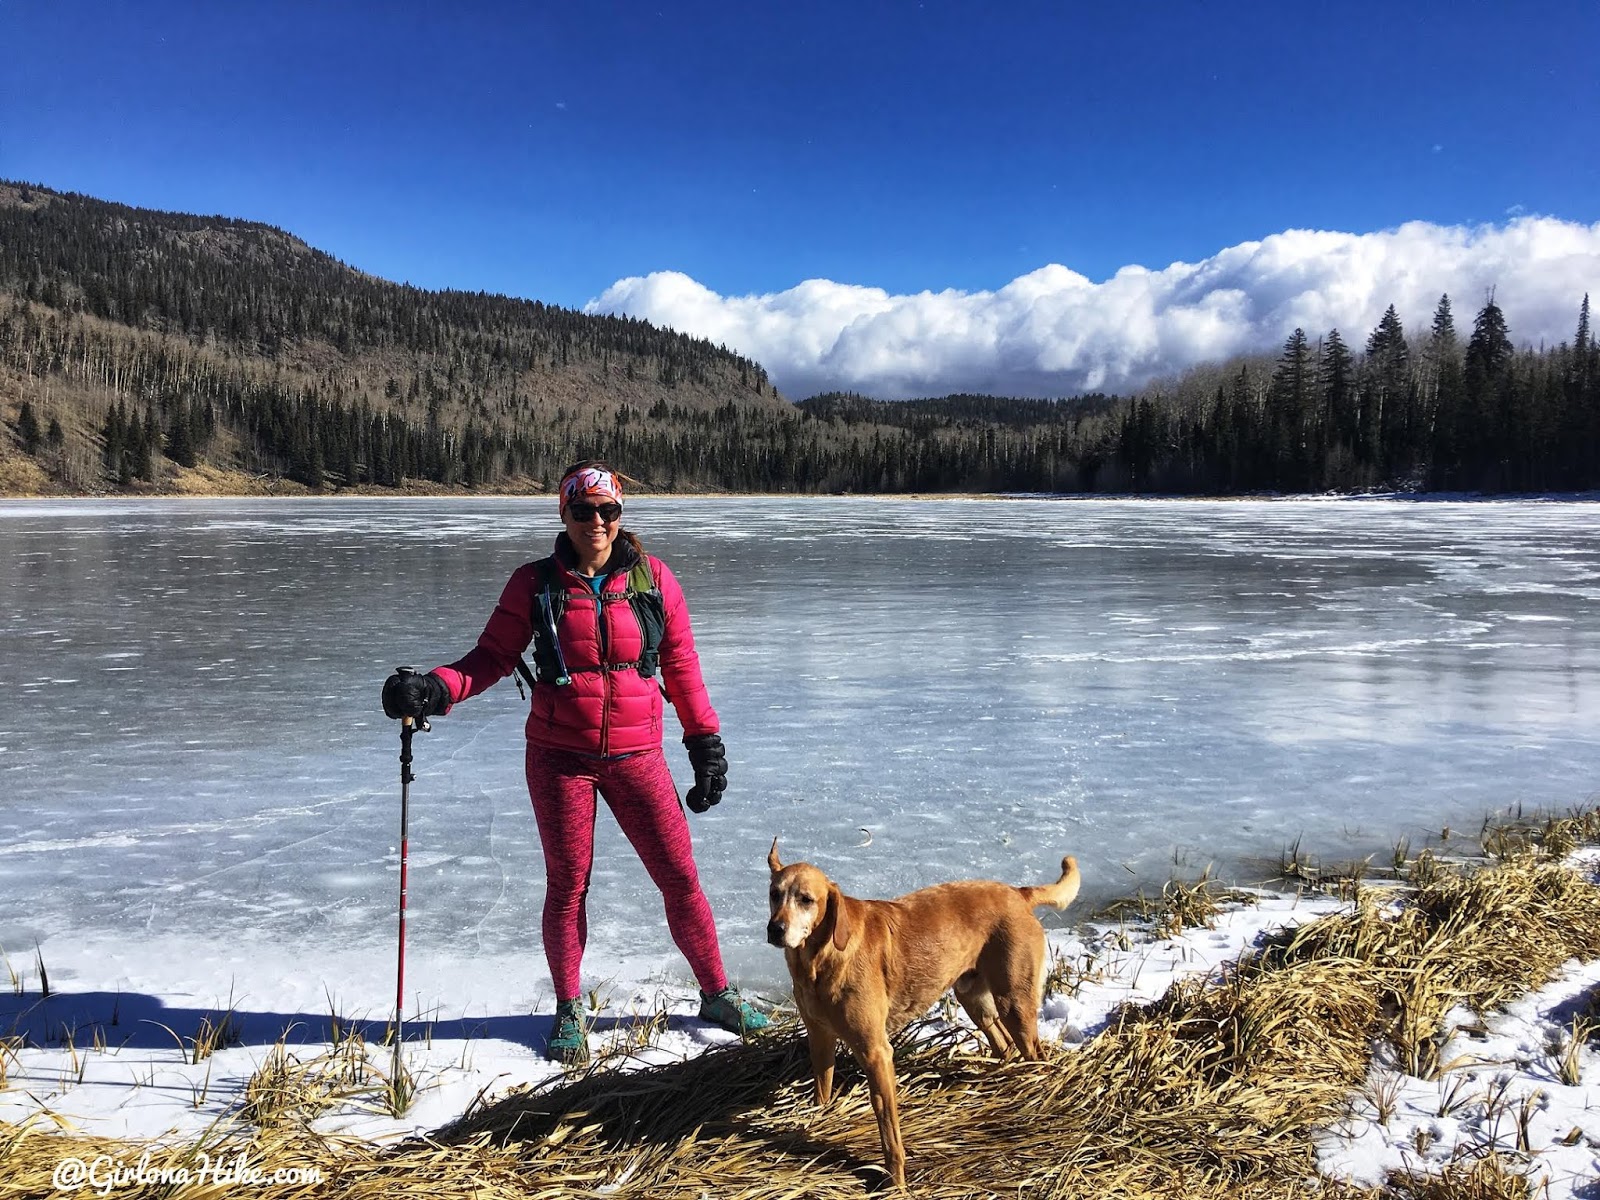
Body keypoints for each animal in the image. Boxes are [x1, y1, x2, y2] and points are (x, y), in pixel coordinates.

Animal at [768, 844, 1081, 1196]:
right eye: (774, 894)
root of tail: (1018, 892)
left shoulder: (876, 1052)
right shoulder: (820, 1039)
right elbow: (822, 1093)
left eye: (806, 899)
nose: (775, 929)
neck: (818, 961)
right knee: (1004, 1045)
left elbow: (889, 1132)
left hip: (1014, 1002)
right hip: (975, 999)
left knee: (1035, 1054)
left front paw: (896, 1182)